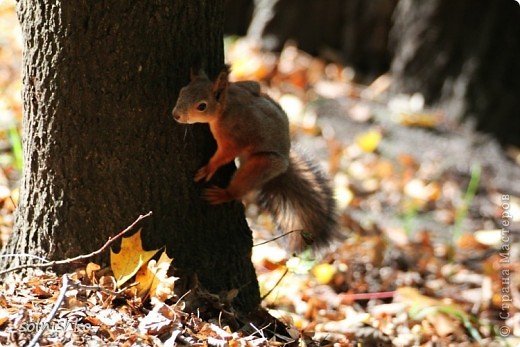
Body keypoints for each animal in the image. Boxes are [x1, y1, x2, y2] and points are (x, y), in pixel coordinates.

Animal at [173, 65, 340, 251]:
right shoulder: (245, 87)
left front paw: (209, 168)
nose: (175, 115)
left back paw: (224, 194)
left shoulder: (235, 137)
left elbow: (226, 154)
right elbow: (254, 85)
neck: (226, 106)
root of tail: (283, 167)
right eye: (182, 91)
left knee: (241, 186)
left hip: (261, 164)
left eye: (202, 106)